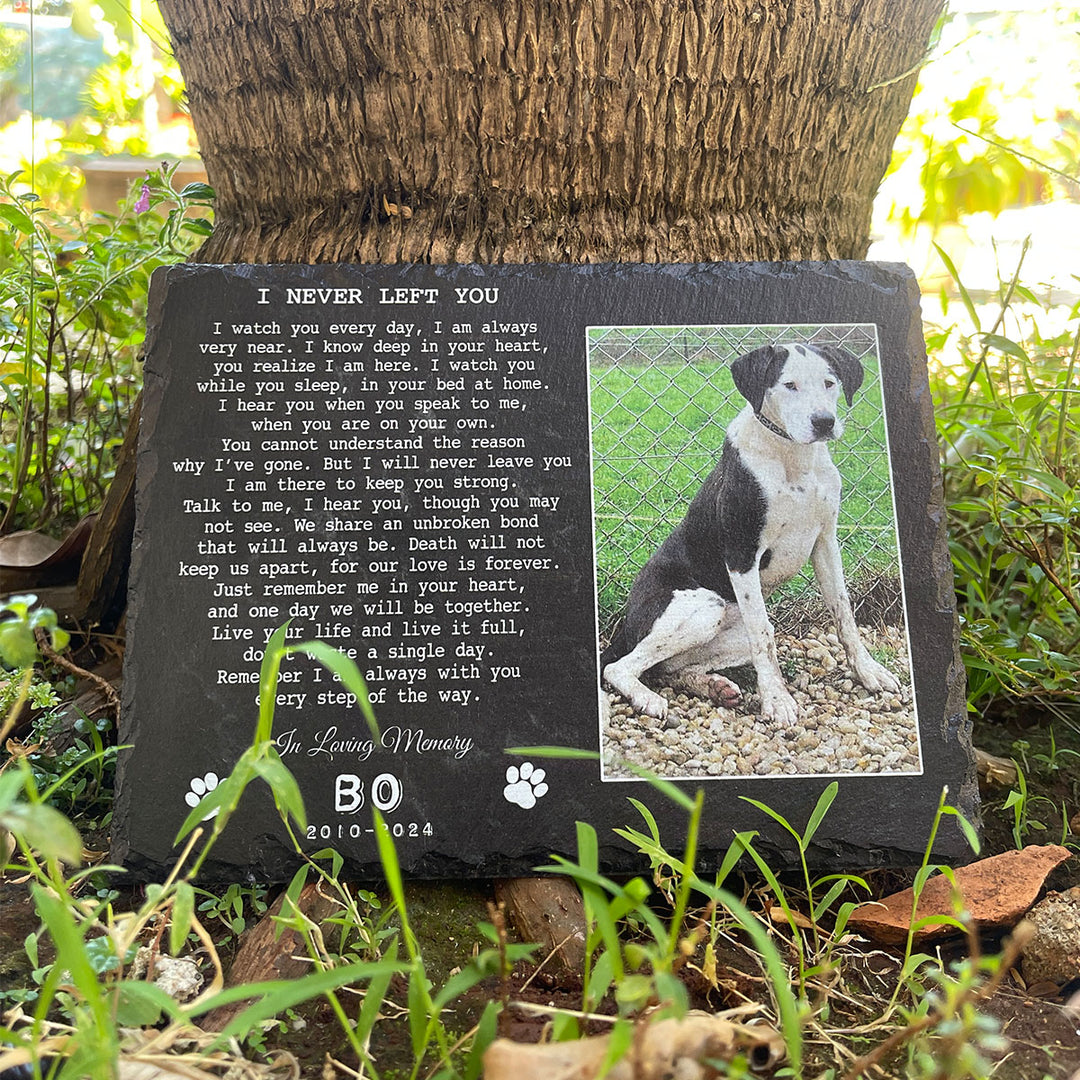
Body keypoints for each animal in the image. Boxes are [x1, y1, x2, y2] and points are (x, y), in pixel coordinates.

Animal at [604, 345, 898, 725]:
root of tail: (626, 626)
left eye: (829, 382)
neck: (792, 456)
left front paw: (867, 672)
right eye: (789, 385)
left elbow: (844, 614)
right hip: (704, 608)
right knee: (620, 667)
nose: (824, 422)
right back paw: (647, 698)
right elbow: (764, 636)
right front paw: (776, 699)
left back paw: (713, 687)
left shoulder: (825, 543)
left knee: (667, 669)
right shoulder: (742, 553)